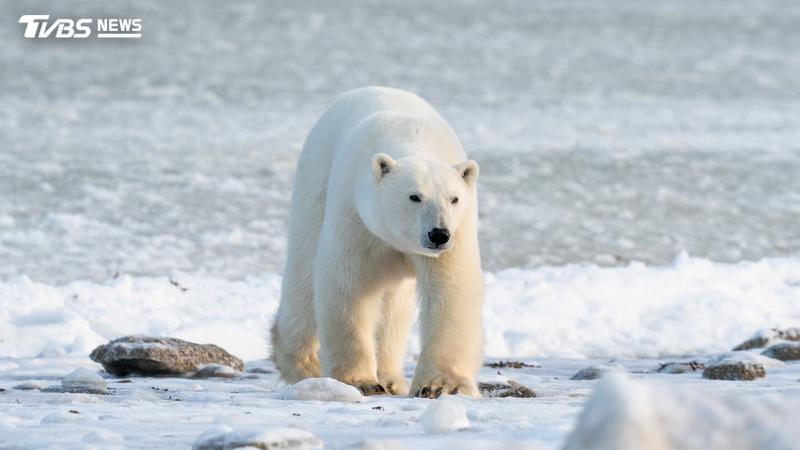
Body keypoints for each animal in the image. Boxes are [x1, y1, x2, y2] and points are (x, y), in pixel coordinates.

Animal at [270, 86, 484, 398]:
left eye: (453, 198)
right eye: (414, 196)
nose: (438, 234)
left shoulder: (458, 233)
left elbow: (451, 289)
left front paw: (440, 386)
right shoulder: (357, 216)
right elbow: (349, 284)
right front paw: (360, 381)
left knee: (394, 307)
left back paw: (391, 378)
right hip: (314, 183)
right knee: (304, 271)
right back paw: (303, 365)